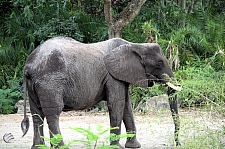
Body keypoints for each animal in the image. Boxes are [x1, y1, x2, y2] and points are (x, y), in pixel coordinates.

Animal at [20, 36, 179, 149]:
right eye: (159, 63)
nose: (177, 144)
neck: (134, 45)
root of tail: (28, 66)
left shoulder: (121, 76)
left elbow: (126, 105)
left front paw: (134, 146)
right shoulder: (112, 76)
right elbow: (116, 104)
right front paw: (116, 147)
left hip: (35, 85)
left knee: (37, 114)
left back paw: (38, 148)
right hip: (50, 82)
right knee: (53, 113)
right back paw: (61, 147)